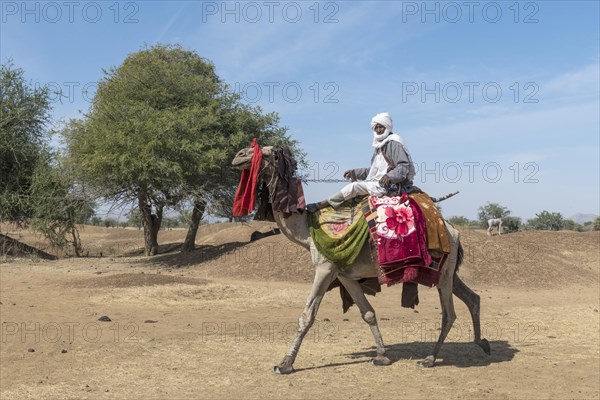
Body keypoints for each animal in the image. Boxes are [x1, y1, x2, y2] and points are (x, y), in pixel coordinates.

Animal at [232, 145, 490, 374]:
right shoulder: (344, 274)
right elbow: (368, 312)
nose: (238, 155)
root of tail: (453, 230)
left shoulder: (325, 267)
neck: (307, 228)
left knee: (449, 313)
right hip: (446, 269)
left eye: (267, 153)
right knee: (473, 298)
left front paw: (284, 364)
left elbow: (307, 316)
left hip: (443, 270)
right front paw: (382, 356)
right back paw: (482, 344)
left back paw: (430, 359)